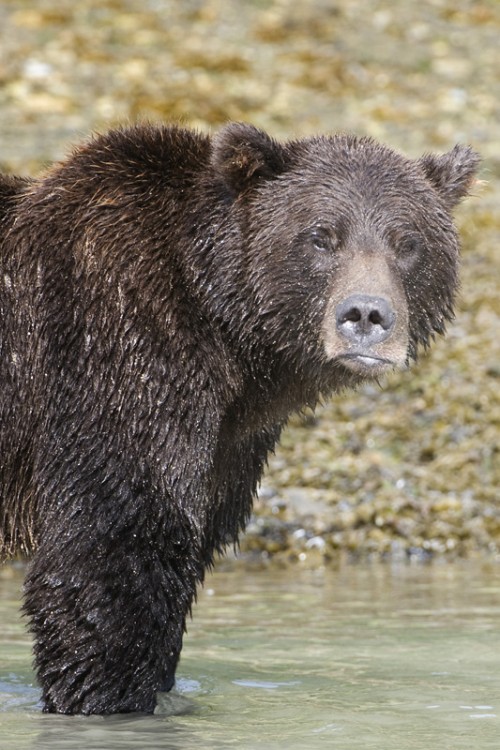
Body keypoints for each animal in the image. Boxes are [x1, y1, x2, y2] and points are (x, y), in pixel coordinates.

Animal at [0, 125, 476, 716]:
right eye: (321, 237)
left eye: (407, 241)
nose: (366, 315)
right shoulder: (118, 353)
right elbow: (114, 545)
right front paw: (108, 700)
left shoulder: (228, 442)